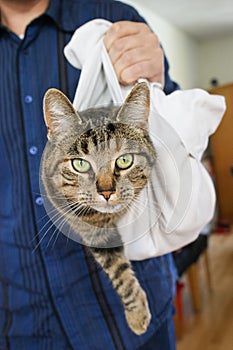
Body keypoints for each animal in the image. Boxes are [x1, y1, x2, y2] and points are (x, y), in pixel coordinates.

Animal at [41, 81, 156, 334]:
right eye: (80, 164)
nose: (106, 192)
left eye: (124, 160)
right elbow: (120, 274)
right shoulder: (94, 234)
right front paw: (137, 313)